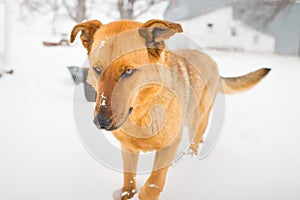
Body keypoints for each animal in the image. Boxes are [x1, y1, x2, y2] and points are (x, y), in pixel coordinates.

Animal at [69, 19, 270, 200]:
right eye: (97, 69)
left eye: (128, 71)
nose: (101, 122)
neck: (143, 113)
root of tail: (210, 59)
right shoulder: (128, 149)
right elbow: (129, 182)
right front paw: (127, 194)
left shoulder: (169, 145)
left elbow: (153, 186)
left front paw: (146, 191)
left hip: (197, 118)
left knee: (195, 141)